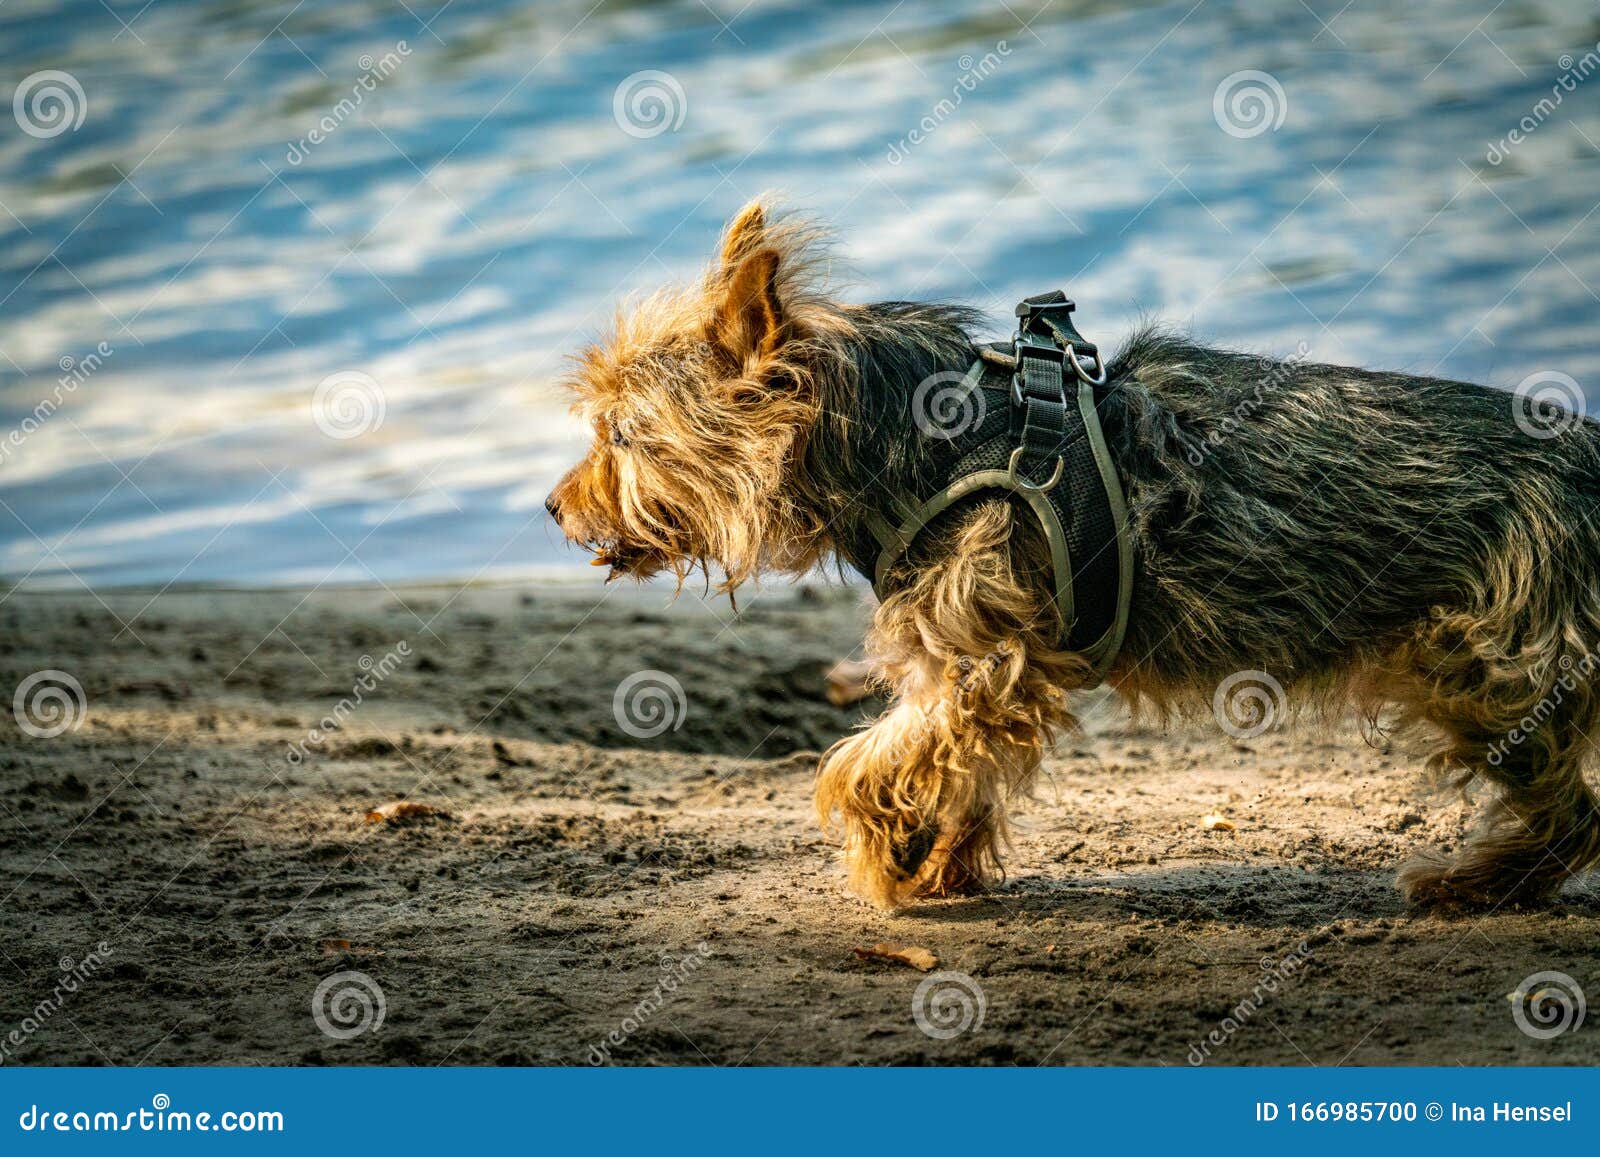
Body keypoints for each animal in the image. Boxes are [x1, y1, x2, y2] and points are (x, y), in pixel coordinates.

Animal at [547, 199, 1600, 915]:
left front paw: (887, 859)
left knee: (1569, 808)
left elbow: (867, 762)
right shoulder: (969, 660)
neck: (918, 439)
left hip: (1492, 660)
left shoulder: (984, 656)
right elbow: (948, 764)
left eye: (623, 435)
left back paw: (1476, 882)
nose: (554, 506)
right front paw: (937, 861)